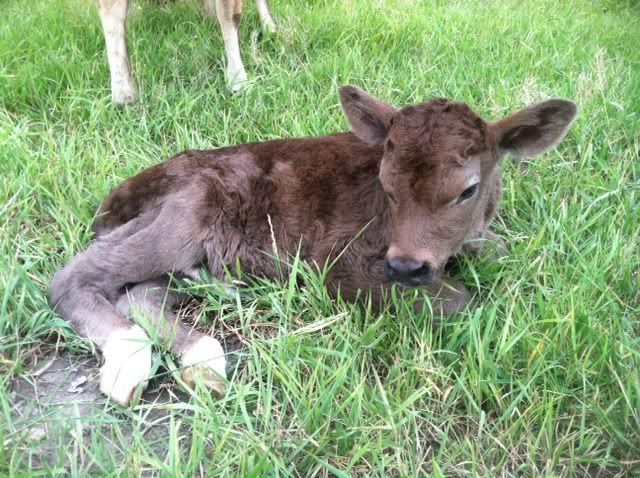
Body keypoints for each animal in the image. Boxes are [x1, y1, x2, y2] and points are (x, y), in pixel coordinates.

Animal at [49, 85, 577, 405]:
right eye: (385, 183)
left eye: (468, 190)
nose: (406, 268)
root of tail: (116, 196)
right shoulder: (340, 261)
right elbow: (460, 301)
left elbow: (500, 250)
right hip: (185, 210)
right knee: (73, 278)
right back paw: (129, 360)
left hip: (189, 248)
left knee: (139, 294)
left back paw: (202, 359)